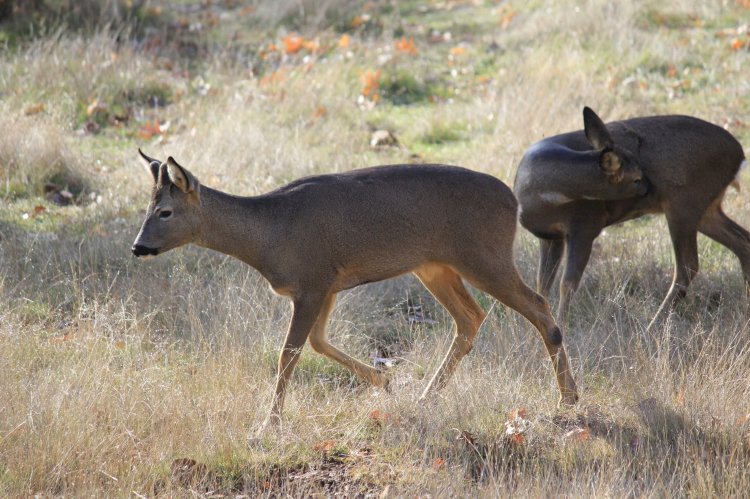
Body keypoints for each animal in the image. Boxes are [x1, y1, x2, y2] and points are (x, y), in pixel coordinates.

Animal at [132, 148, 580, 430]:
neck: (269, 235)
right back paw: (427, 397)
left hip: (485, 256)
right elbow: (318, 343)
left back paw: (569, 400)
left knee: (539, 307)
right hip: (434, 266)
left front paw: (268, 425)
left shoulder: (311, 281)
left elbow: (288, 354)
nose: (138, 246)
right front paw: (385, 381)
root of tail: (512, 201)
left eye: (165, 211)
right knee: (471, 317)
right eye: (147, 209)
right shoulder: (327, 285)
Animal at [516, 107, 750, 330]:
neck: (539, 192)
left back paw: (651, 326)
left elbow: (567, 284)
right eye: (636, 178)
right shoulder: (550, 236)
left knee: (688, 266)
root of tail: (739, 155)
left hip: (684, 202)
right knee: (742, 242)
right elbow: (541, 286)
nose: (651, 189)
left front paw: (561, 328)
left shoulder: (585, 225)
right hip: (706, 209)